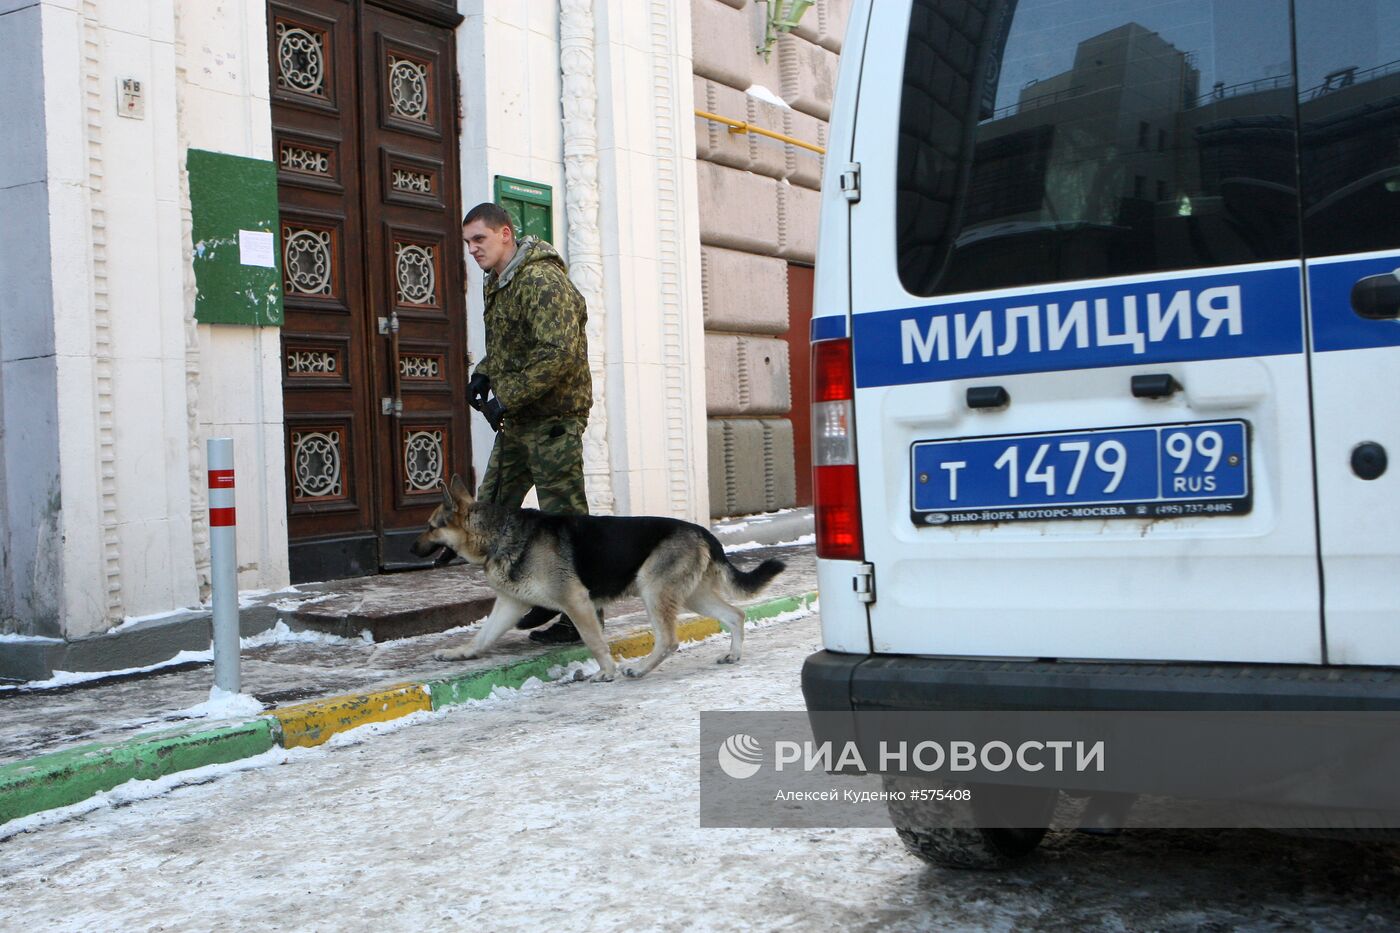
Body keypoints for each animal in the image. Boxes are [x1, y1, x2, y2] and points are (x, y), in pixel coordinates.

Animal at [411, 476, 789, 680]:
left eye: (430, 527)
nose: (411, 548)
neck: (497, 533)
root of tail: (703, 531)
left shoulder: (575, 602)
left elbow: (594, 641)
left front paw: (606, 671)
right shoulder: (510, 604)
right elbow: (481, 636)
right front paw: (458, 654)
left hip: (653, 591)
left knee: (669, 640)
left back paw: (639, 669)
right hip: (693, 595)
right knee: (735, 615)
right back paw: (733, 654)